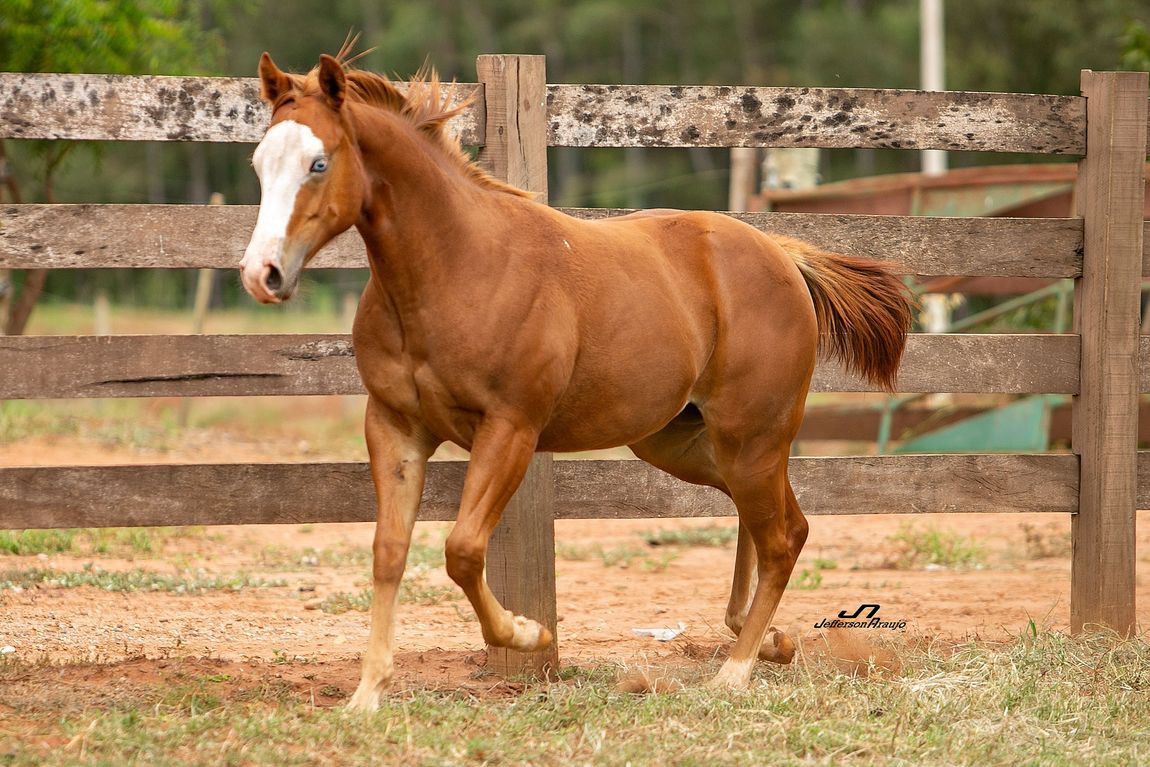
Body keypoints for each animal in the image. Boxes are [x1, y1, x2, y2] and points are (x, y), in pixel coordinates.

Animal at [238, 45, 910, 712]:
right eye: (259, 163)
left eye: (319, 162)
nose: (261, 273)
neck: (458, 268)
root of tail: (783, 255)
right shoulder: (395, 428)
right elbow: (388, 552)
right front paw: (367, 695)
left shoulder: (511, 429)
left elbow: (463, 550)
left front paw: (527, 633)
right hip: (687, 445)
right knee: (773, 521)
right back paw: (768, 639)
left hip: (752, 438)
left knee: (780, 536)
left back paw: (735, 670)